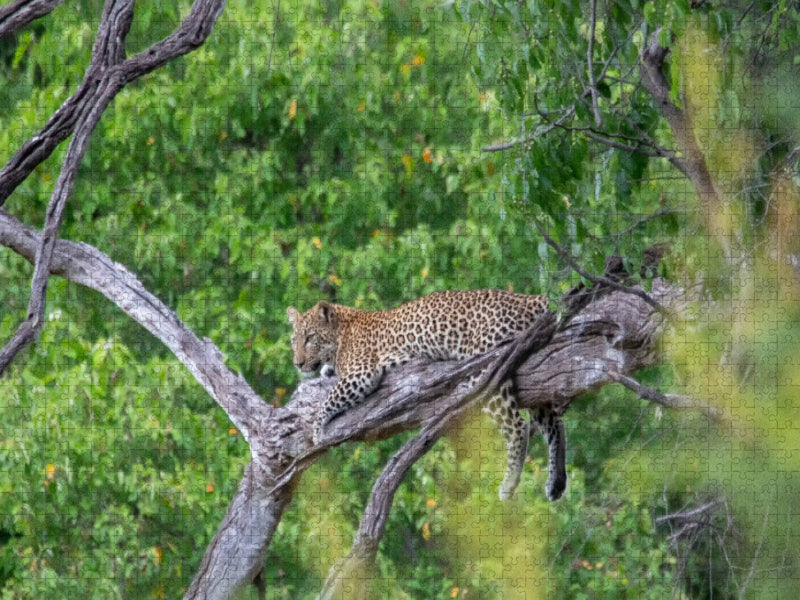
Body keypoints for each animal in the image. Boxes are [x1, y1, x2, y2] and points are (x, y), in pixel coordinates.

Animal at [287, 289, 567, 501]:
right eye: (294, 340)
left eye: (310, 338)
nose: (298, 363)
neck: (341, 331)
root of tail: (530, 299)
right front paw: (325, 372)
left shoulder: (362, 373)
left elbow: (328, 399)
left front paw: (317, 431)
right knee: (554, 424)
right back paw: (557, 482)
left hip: (489, 368)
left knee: (518, 426)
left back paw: (509, 484)